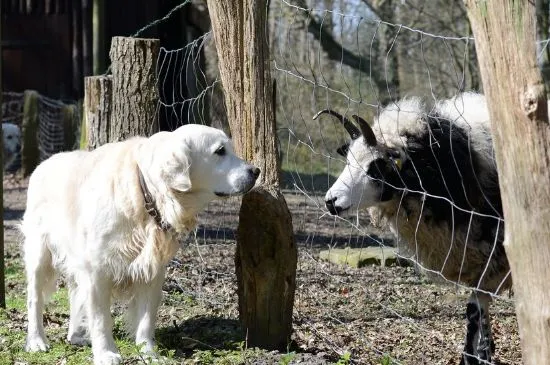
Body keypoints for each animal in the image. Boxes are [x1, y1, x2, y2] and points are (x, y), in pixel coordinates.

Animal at [320, 93, 512, 364]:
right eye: (348, 161)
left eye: (376, 167)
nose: (331, 201)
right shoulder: (479, 259)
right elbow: (476, 311)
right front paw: (476, 355)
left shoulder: (493, 257)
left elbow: (476, 315)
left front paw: (478, 356)